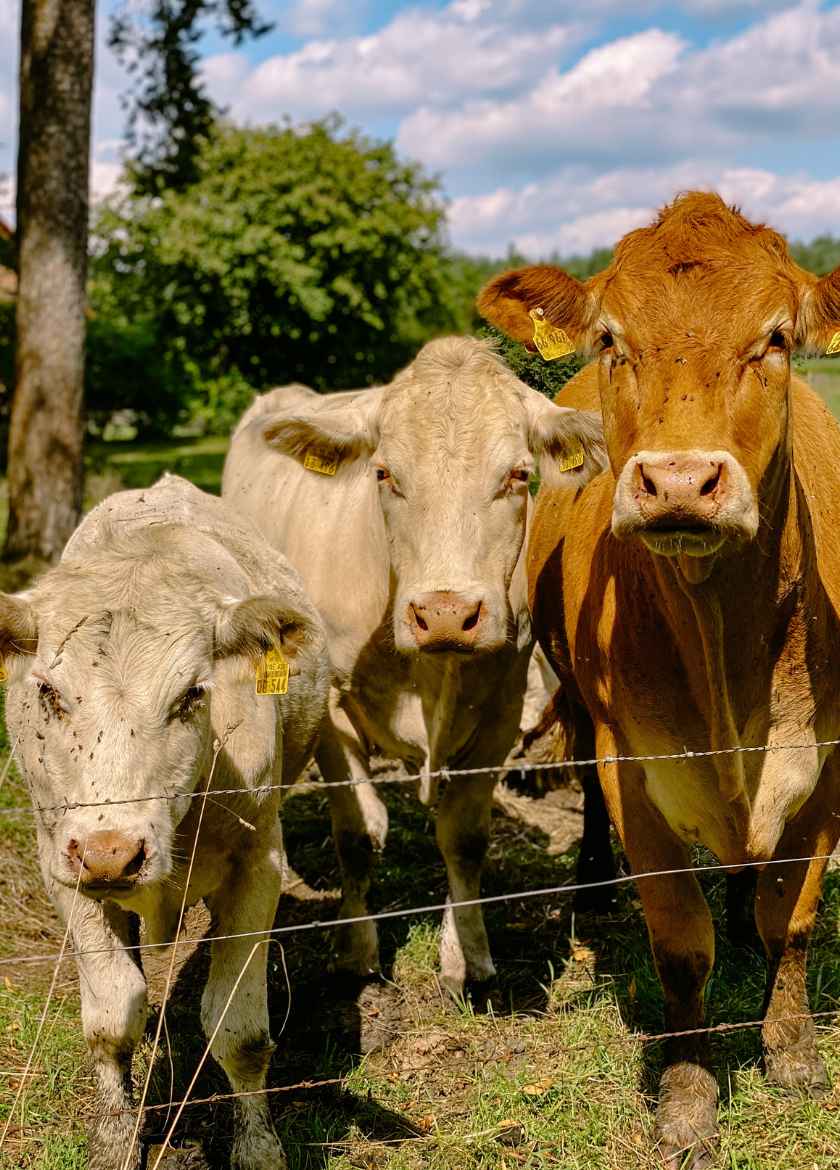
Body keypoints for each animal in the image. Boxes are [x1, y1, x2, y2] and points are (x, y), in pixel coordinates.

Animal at [4, 477, 332, 1170]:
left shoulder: (259, 866)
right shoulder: (62, 866)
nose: (112, 851)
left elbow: (239, 1028)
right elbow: (111, 1015)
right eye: (47, 693)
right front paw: (115, 1138)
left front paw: (258, 1146)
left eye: (192, 695)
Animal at [223, 334, 603, 992]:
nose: (446, 613)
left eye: (518, 475)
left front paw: (467, 955)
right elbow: (357, 835)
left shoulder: (503, 708)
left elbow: (464, 837)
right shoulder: (331, 713)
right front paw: (356, 951)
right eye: (384, 474)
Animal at [479, 191, 840, 1170]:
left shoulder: (828, 765)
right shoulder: (634, 767)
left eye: (776, 339)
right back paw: (592, 886)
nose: (680, 482)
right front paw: (686, 1098)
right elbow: (681, 944)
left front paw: (791, 1049)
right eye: (612, 339)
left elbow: (791, 917)